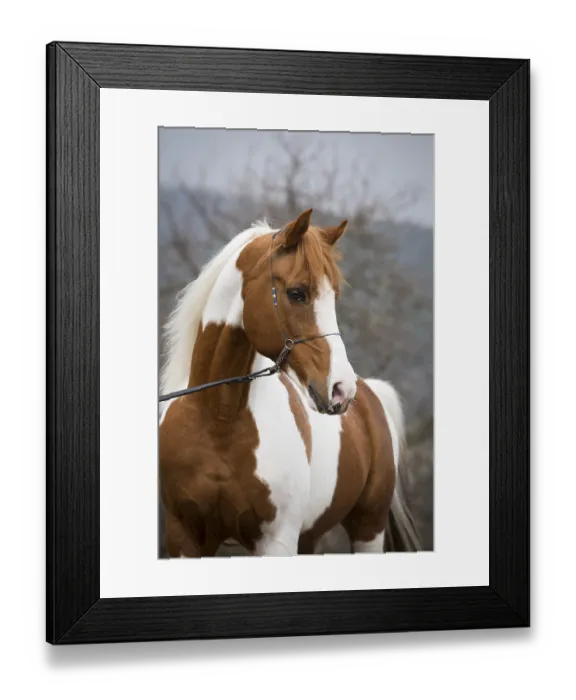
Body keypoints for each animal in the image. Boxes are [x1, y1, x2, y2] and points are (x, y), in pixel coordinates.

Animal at [158, 208, 421, 557]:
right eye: (297, 293)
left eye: (334, 297)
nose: (341, 389)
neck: (218, 421)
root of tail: (370, 393)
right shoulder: (183, 536)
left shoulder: (277, 541)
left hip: (369, 528)